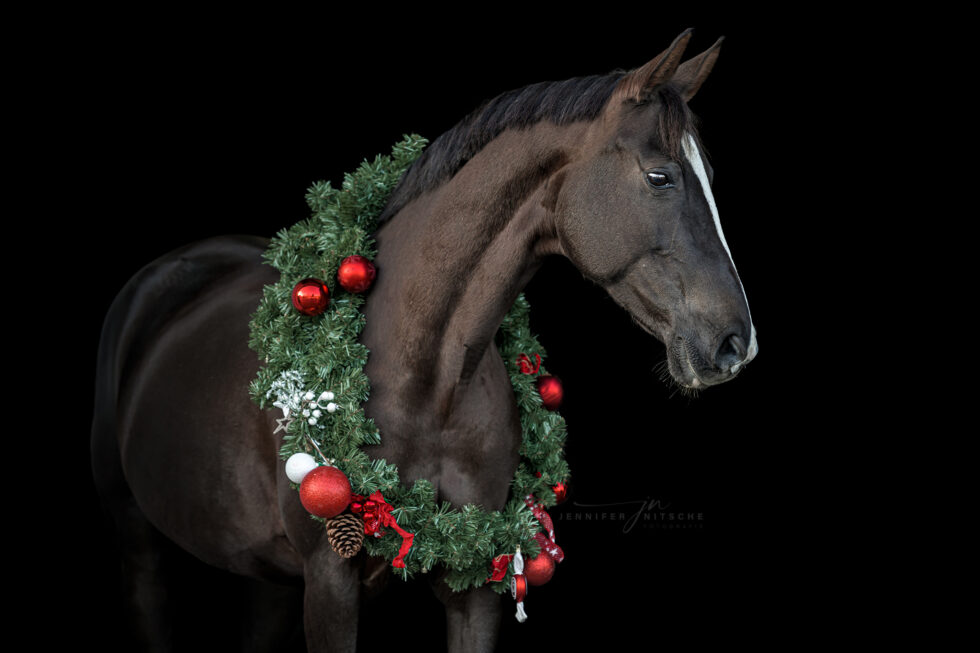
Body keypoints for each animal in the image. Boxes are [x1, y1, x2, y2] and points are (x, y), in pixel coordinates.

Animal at [91, 28, 757, 652]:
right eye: (660, 177)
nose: (736, 344)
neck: (420, 380)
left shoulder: (478, 584)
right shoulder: (329, 583)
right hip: (140, 546)